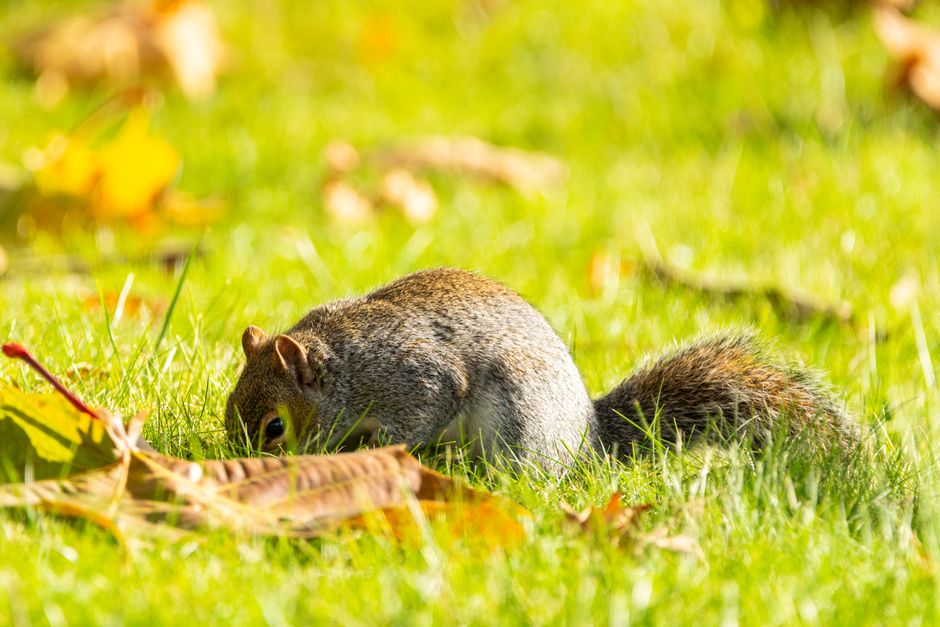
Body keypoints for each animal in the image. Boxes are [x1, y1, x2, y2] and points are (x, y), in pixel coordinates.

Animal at [224, 268, 854, 471]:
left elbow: (420, 415)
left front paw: (367, 451)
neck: (344, 364)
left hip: (518, 416)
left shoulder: (414, 378)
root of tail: (590, 437)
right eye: (230, 410)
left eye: (275, 428)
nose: (242, 462)